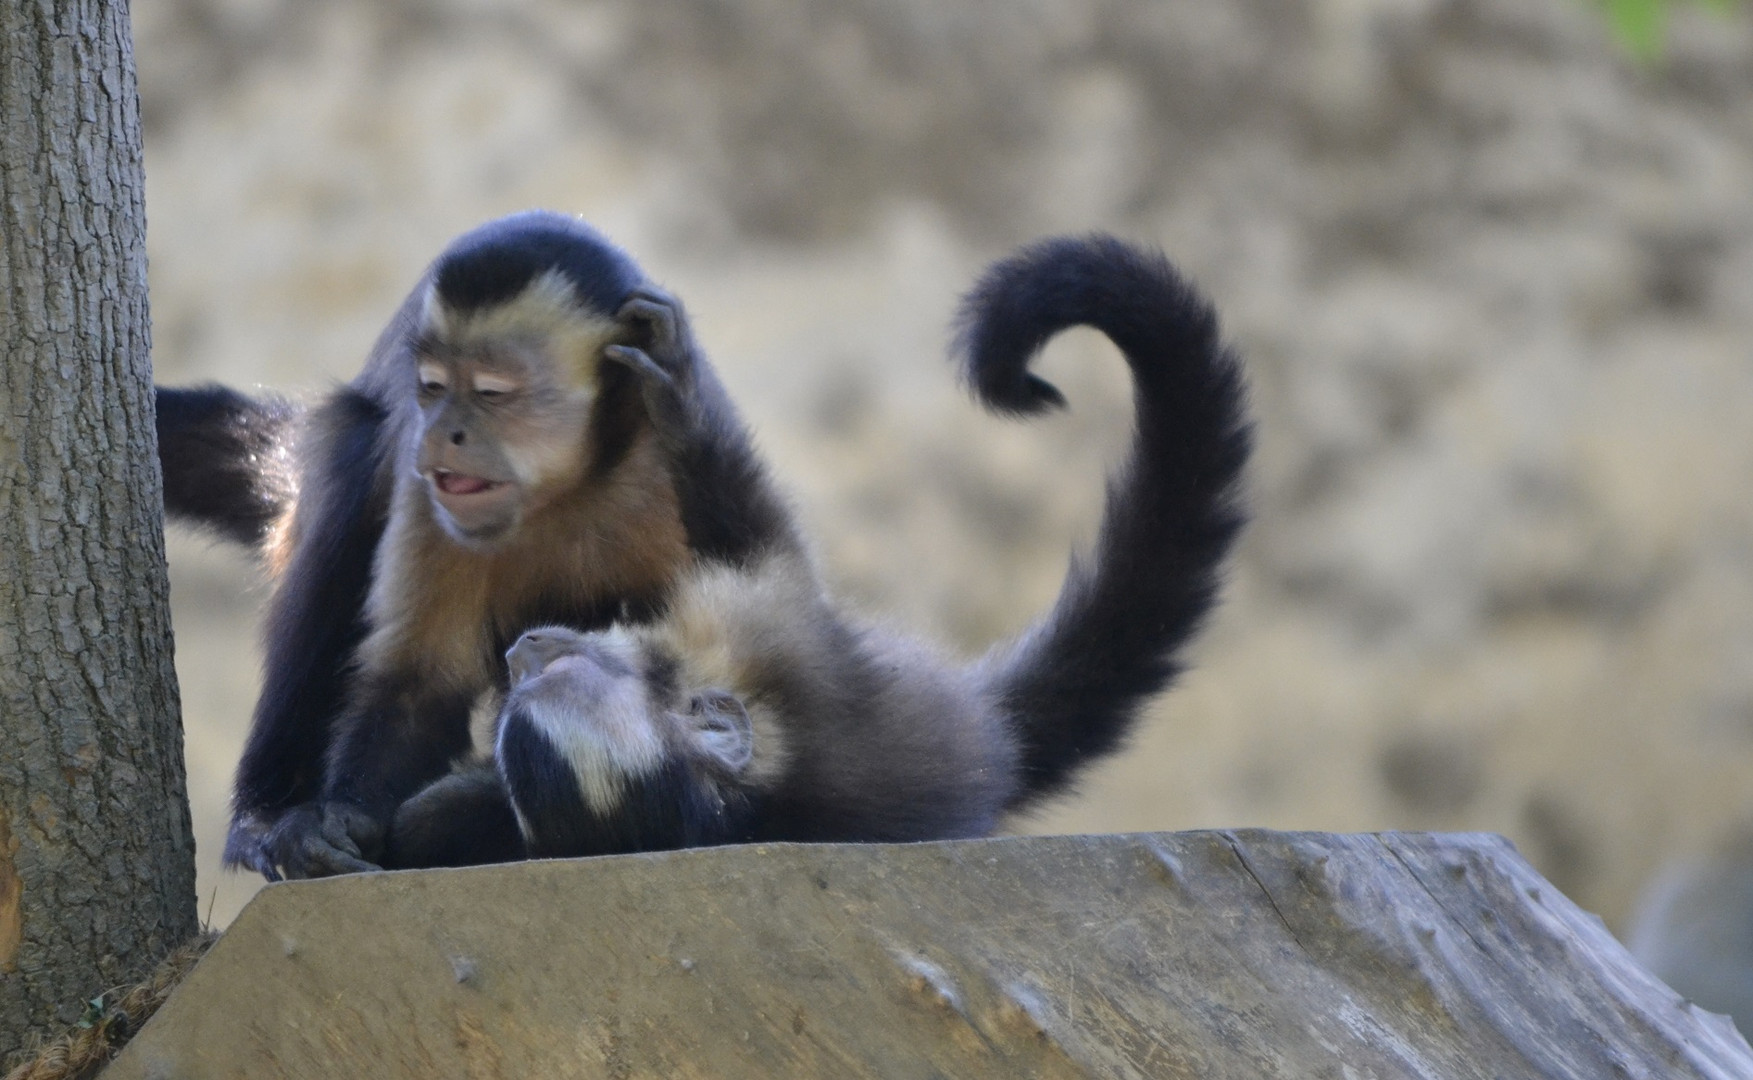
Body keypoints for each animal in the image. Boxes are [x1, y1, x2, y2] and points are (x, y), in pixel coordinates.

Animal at [154, 208, 750, 876]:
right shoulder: (428, 490)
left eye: (492, 391)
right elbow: (419, 681)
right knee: (352, 463)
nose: (445, 432)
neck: (566, 484)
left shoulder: (670, 441)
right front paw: (341, 818)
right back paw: (269, 815)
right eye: (435, 387)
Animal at [385, 236, 1255, 869]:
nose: (524, 652)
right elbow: (760, 545)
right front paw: (683, 404)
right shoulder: (774, 643)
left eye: (553, 670)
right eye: (522, 699)